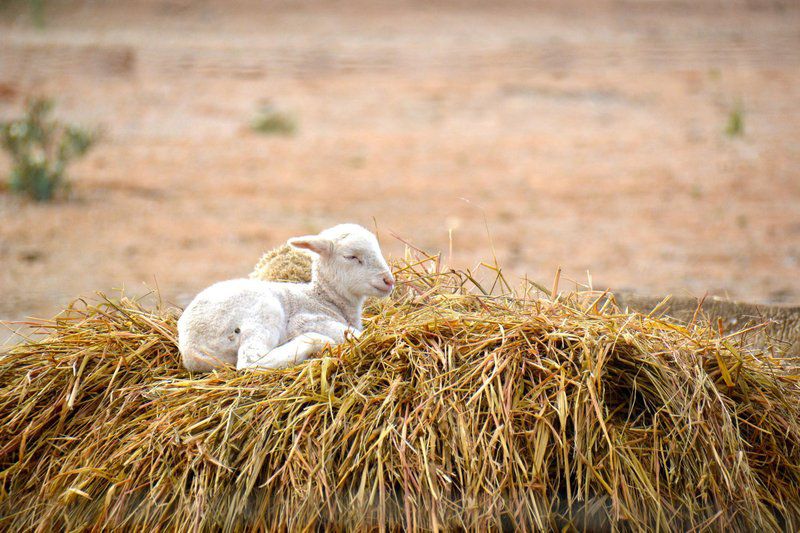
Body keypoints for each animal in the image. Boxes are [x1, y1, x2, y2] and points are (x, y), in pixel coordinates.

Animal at [179, 223, 396, 370]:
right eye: (351, 256)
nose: (388, 280)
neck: (324, 297)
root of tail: (191, 348)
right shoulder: (304, 319)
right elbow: (358, 335)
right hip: (264, 310)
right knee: (250, 362)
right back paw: (313, 341)